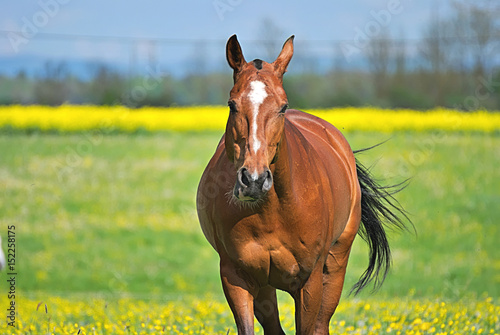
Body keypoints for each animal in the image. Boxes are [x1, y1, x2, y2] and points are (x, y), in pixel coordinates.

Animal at [195, 35, 410, 334]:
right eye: (232, 104)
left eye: (283, 106)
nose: (254, 180)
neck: (273, 212)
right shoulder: (236, 278)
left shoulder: (309, 281)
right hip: (264, 287)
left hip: (334, 266)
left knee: (322, 324)